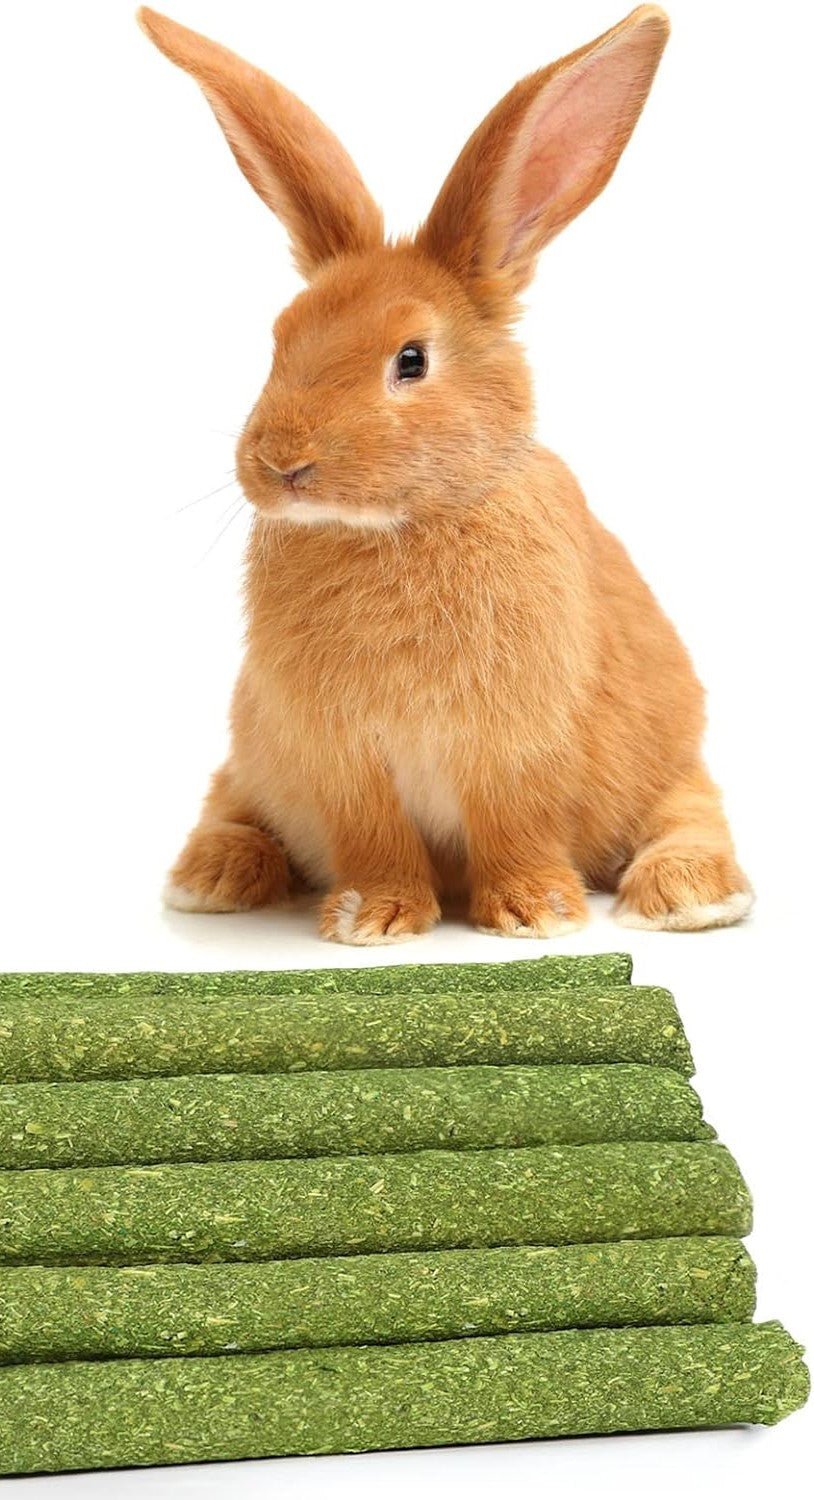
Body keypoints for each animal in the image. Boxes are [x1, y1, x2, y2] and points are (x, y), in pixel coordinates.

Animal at [139, 4, 752, 945]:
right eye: (279, 339)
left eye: (412, 360)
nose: (281, 465)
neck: (402, 527)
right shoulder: (338, 755)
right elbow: (373, 837)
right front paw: (374, 918)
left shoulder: (515, 745)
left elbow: (514, 825)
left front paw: (535, 915)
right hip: (251, 757)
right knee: (232, 804)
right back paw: (213, 876)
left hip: (672, 755)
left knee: (690, 811)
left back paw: (691, 896)